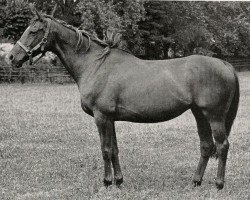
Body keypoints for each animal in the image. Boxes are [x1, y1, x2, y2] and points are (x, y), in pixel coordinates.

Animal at [6, 11, 239, 191]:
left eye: (33, 31)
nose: (11, 57)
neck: (95, 65)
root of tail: (224, 64)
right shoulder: (111, 119)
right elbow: (115, 150)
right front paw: (119, 181)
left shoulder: (101, 117)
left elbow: (105, 150)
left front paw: (107, 182)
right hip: (199, 114)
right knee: (206, 146)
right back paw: (196, 182)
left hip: (214, 116)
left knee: (222, 145)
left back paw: (218, 184)